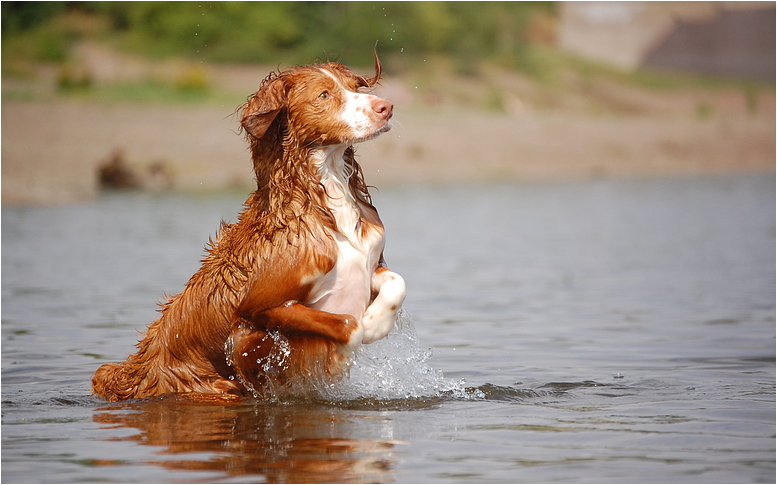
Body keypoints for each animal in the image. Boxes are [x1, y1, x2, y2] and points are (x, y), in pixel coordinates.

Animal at [91, 54, 406, 400]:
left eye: (354, 88)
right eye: (323, 95)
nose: (386, 107)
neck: (326, 199)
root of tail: (134, 373)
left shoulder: (368, 261)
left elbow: (397, 282)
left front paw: (376, 321)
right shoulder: (253, 316)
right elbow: (347, 325)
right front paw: (357, 335)